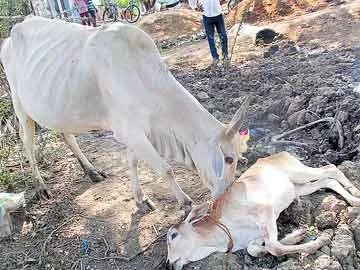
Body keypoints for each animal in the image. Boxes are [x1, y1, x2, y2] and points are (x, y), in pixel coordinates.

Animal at [0, 15, 248, 207]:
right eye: (228, 159)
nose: (227, 195)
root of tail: (15, 30)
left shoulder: (136, 132)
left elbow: (133, 161)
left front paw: (140, 197)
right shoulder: (130, 131)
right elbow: (165, 168)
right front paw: (185, 202)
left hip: (58, 110)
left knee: (67, 135)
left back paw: (92, 171)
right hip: (19, 105)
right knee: (27, 141)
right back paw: (41, 186)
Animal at [166, 153, 360, 268]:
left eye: (173, 235)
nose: (168, 263)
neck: (225, 234)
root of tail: (280, 153)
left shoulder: (264, 210)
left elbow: (275, 247)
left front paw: (320, 240)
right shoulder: (255, 237)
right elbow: (256, 249)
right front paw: (297, 234)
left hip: (299, 172)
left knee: (331, 169)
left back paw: (356, 195)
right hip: (297, 188)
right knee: (328, 181)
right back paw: (352, 198)